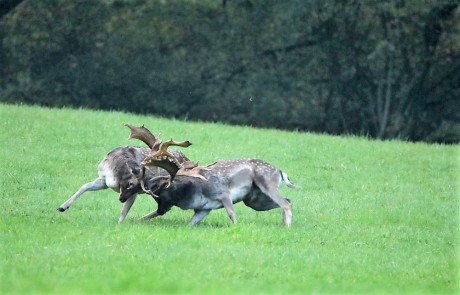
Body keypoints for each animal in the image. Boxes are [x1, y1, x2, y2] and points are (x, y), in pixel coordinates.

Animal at [56, 125, 190, 224]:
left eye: (141, 188)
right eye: (130, 183)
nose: (121, 199)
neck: (116, 178)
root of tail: (188, 159)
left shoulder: (133, 194)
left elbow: (124, 211)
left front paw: (118, 225)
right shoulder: (103, 180)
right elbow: (84, 186)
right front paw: (61, 207)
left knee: (165, 207)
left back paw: (140, 219)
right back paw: (140, 219)